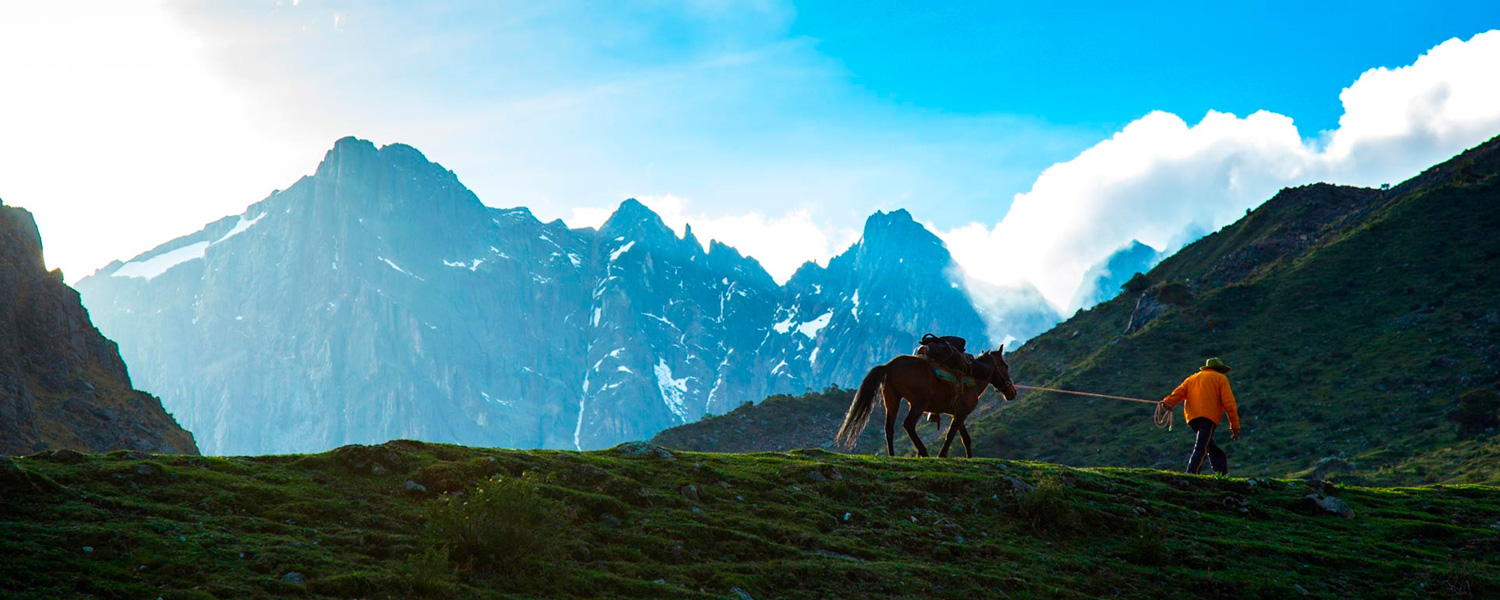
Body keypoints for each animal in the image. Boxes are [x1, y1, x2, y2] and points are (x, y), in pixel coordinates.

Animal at [834, 346, 1020, 459]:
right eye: (1005, 365)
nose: (1012, 392)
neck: (974, 377)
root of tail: (889, 365)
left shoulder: (957, 414)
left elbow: (965, 438)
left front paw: (969, 458)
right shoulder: (961, 414)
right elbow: (951, 435)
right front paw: (942, 455)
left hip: (892, 400)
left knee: (889, 428)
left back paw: (892, 455)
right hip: (918, 403)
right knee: (908, 425)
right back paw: (923, 452)